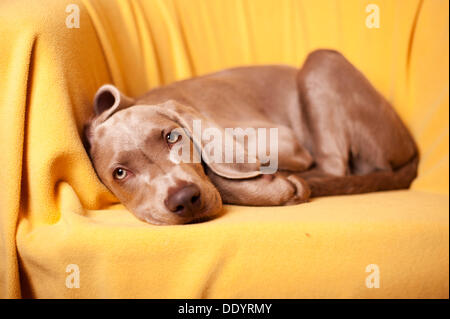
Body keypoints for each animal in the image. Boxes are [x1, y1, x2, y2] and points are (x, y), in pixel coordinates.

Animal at [83, 49, 418, 225]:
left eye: (172, 137)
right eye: (120, 173)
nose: (184, 200)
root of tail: (410, 142)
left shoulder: (284, 139)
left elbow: (218, 170)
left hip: (322, 61)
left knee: (336, 168)